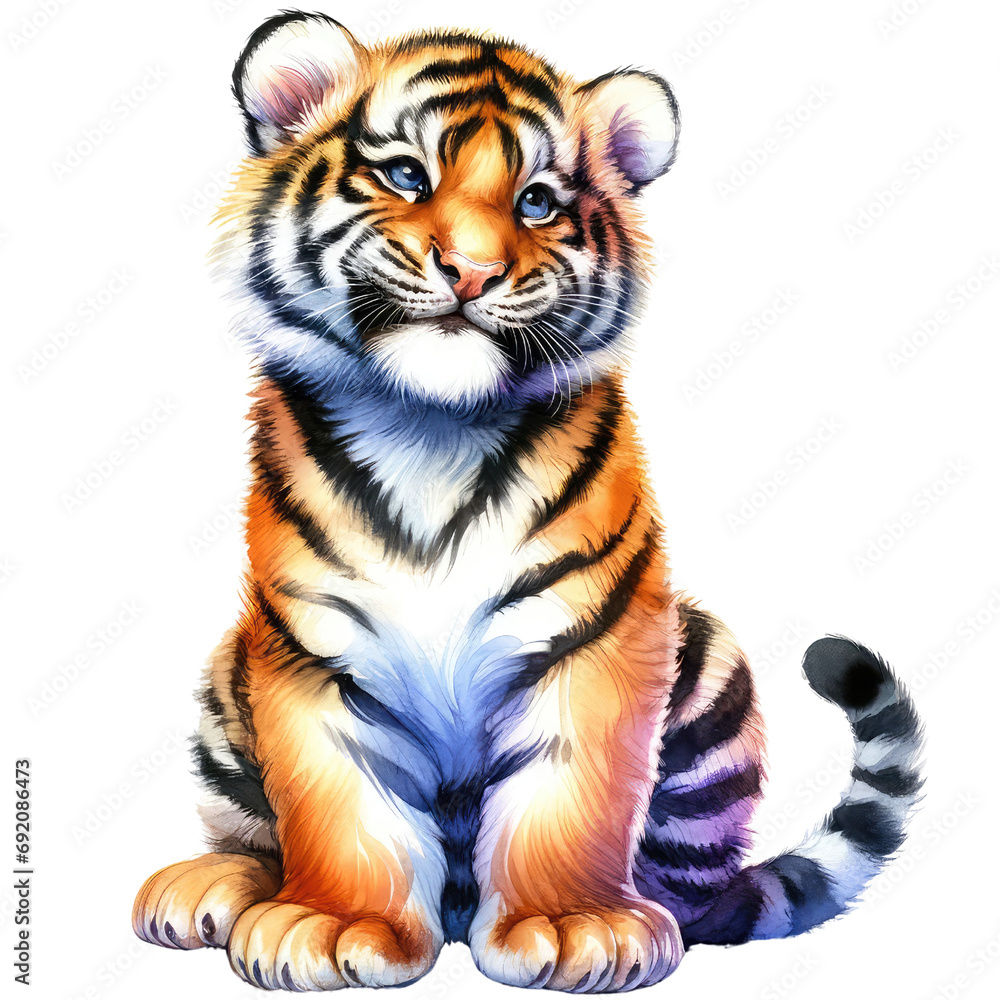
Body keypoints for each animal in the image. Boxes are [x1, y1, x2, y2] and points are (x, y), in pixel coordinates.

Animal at [132, 11, 924, 994]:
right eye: (407, 176)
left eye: (538, 202)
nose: (471, 272)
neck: (429, 428)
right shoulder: (313, 651)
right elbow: (338, 805)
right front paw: (334, 925)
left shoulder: (593, 638)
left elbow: (571, 797)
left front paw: (573, 926)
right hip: (226, 677)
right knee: (251, 835)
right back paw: (202, 887)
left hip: (704, 662)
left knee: (687, 890)